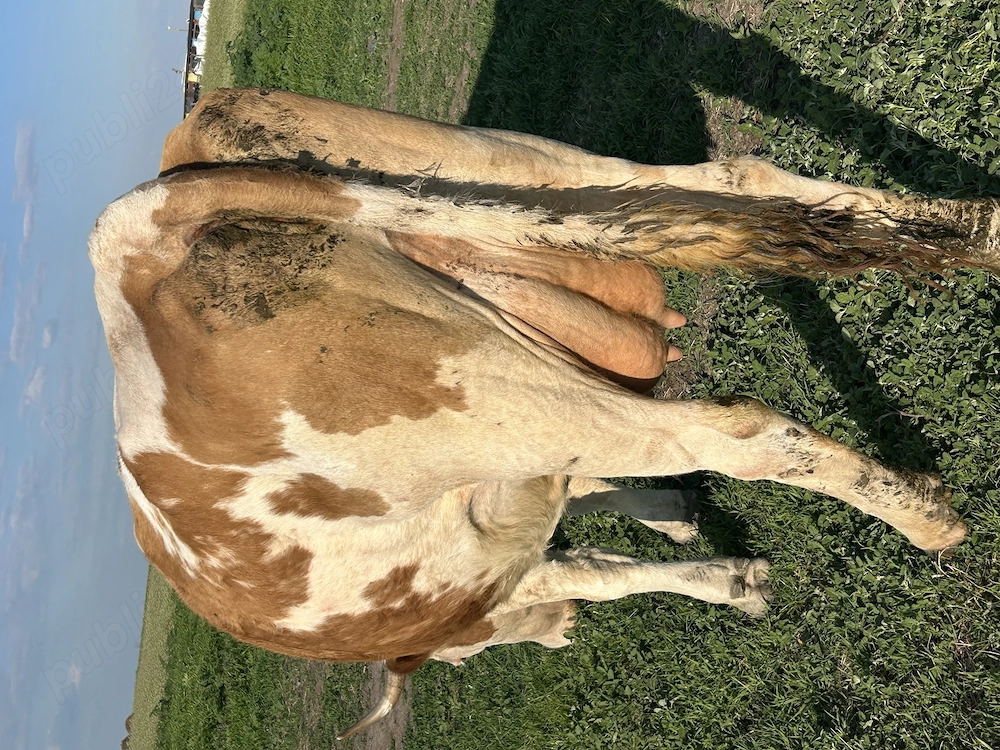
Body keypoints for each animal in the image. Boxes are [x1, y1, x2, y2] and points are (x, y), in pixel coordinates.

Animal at [90, 88, 997, 738]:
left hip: (487, 395)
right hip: (514, 178)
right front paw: (709, 552)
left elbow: (597, 568)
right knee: (734, 180)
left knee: (739, 430)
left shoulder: (489, 573)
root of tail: (141, 237)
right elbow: (601, 545)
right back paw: (979, 226)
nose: (556, 633)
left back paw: (930, 520)